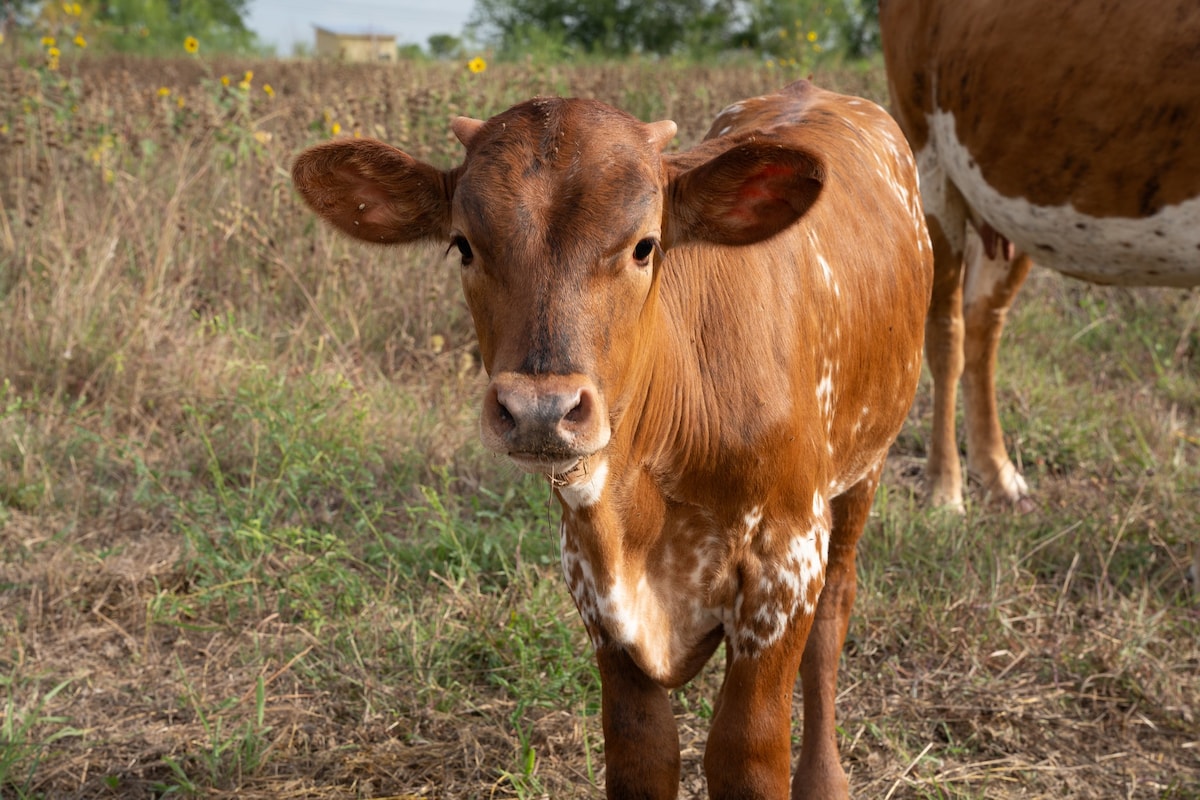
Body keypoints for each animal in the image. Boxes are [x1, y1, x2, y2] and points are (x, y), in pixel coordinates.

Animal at [295, 81, 931, 800]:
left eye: (644, 246)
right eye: (463, 245)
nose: (539, 410)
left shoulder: (785, 563)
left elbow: (746, 751)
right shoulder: (594, 585)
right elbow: (641, 752)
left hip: (863, 472)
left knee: (833, 619)